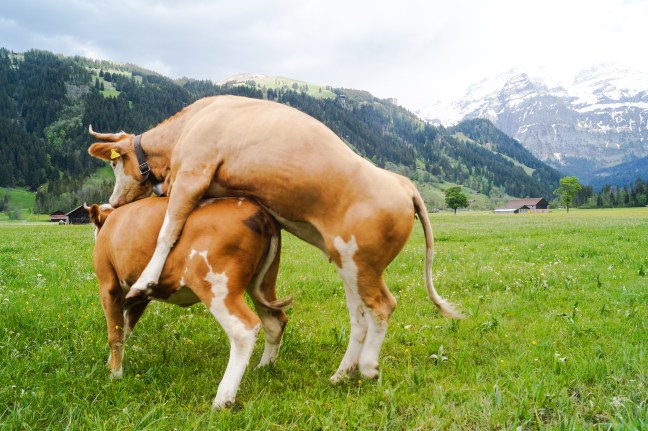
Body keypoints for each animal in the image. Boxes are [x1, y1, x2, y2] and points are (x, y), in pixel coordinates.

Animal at [87, 196, 291, 409]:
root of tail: (260, 212)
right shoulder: (140, 297)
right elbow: (125, 329)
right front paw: (112, 363)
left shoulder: (108, 286)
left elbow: (115, 335)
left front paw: (114, 375)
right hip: (263, 283)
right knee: (275, 322)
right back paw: (264, 367)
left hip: (216, 287)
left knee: (243, 329)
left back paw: (223, 398)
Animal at [88, 95, 463, 384]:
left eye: (115, 165)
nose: (115, 202)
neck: (191, 124)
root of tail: (403, 183)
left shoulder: (193, 174)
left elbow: (169, 229)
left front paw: (145, 281)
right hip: (349, 264)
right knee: (360, 316)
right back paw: (341, 374)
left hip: (364, 264)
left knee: (383, 306)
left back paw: (368, 367)